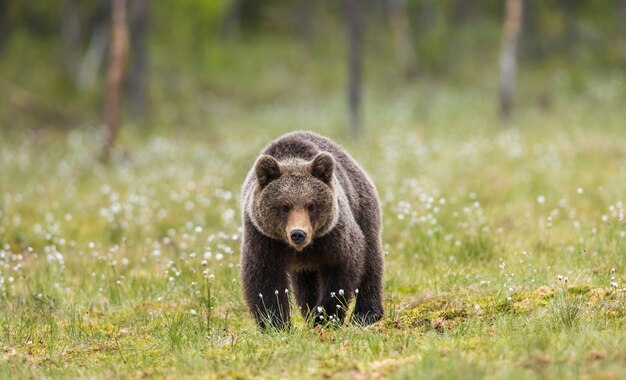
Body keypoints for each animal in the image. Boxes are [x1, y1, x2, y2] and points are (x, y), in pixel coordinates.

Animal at [241, 132, 382, 328]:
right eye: (284, 206)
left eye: (311, 205)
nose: (298, 234)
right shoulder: (264, 238)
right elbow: (265, 280)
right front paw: (275, 323)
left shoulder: (333, 234)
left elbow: (342, 266)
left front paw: (325, 316)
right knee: (306, 284)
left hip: (362, 207)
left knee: (370, 258)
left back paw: (367, 313)